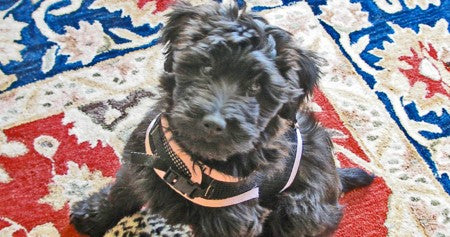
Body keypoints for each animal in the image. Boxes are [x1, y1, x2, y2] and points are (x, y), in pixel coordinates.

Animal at [70, 1, 372, 235]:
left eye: (256, 88)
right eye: (206, 67)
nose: (214, 123)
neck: (190, 165)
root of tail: (336, 176)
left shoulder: (232, 221)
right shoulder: (142, 161)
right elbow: (120, 192)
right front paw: (92, 216)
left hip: (301, 209)